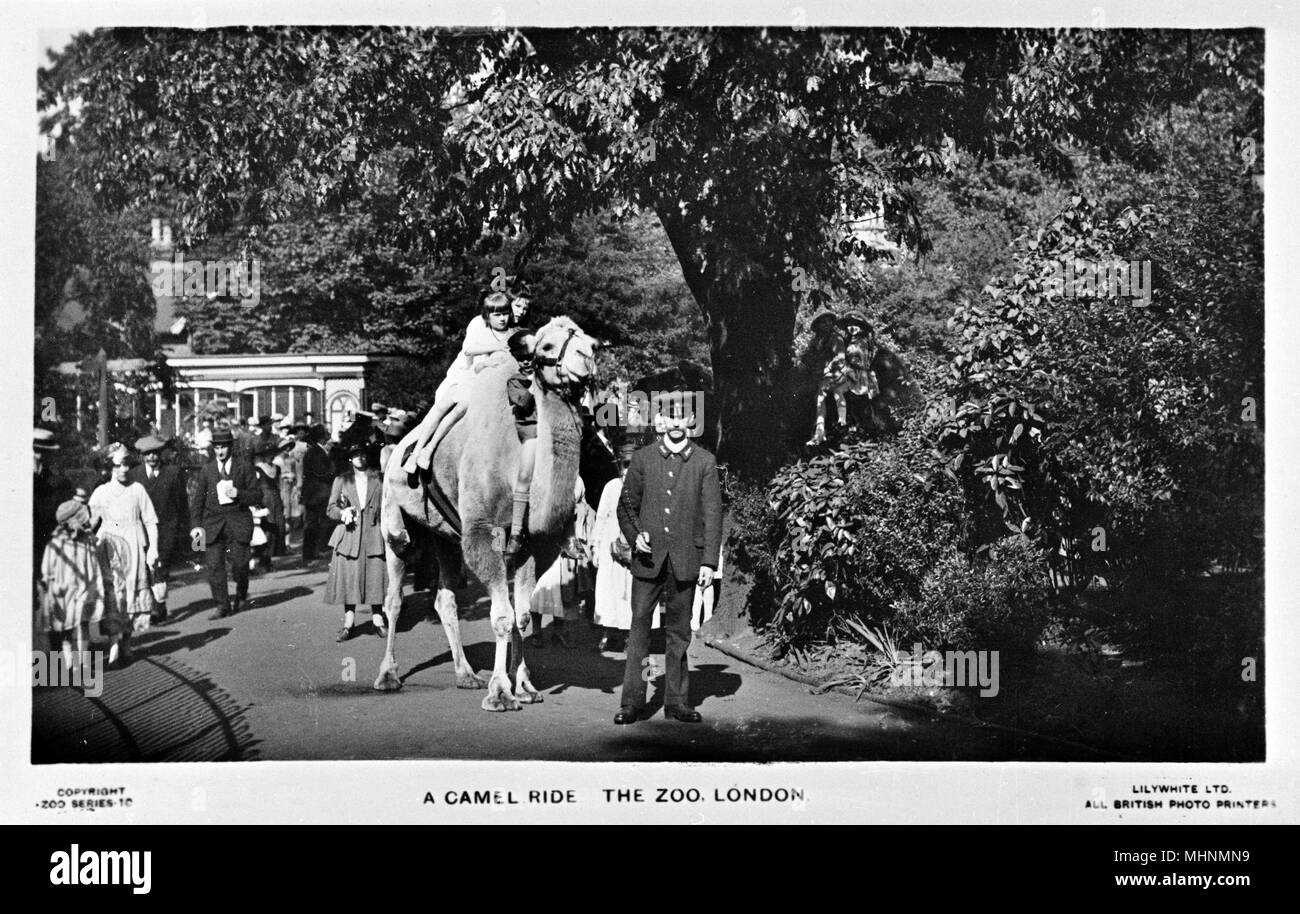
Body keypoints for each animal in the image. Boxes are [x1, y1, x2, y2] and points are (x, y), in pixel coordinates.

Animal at [374, 318, 595, 712]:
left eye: (587, 338)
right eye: (547, 346)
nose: (589, 356)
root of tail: (399, 446)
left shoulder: (529, 547)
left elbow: (522, 616)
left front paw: (524, 686)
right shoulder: (481, 532)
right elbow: (502, 617)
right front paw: (500, 693)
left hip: (445, 536)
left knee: (445, 598)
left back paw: (465, 674)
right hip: (396, 525)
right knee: (394, 597)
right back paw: (387, 676)